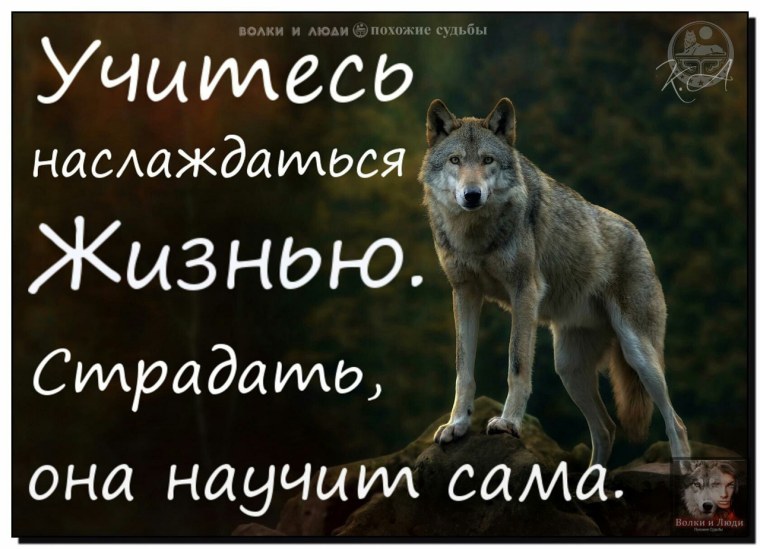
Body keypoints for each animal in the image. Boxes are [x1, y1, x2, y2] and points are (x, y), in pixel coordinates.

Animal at [418, 98, 691, 466]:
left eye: (487, 160)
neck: (476, 236)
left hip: (639, 355)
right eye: (455, 160)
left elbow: (517, 364)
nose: (472, 195)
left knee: (676, 423)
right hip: (568, 367)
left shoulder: (525, 292)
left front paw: (508, 423)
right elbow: (464, 369)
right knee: (606, 428)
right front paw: (458, 425)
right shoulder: (464, 293)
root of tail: (638, 236)